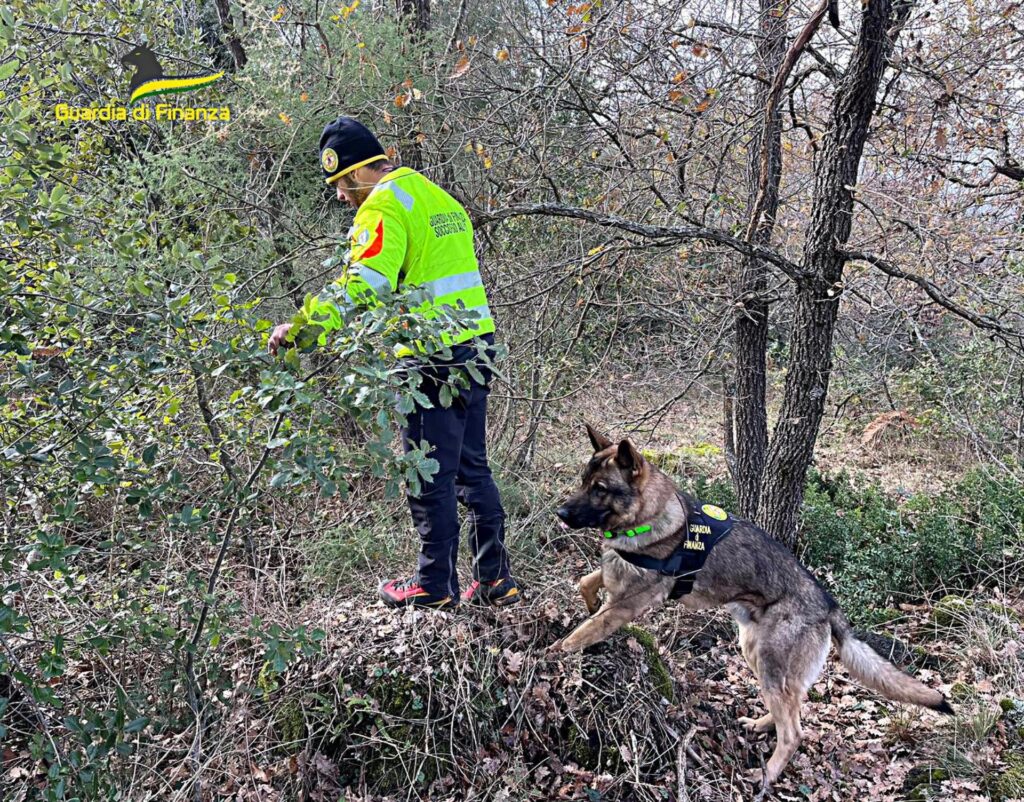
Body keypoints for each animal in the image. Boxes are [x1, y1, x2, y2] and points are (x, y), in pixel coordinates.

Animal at [552, 426, 950, 794]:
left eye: (600, 488)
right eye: (583, 482)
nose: (560, 512)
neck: (650, 515)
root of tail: (828, 605)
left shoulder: (625, 606)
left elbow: (580, 634)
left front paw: (553, 654)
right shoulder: (616, 587)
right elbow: (587, 582)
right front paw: (587, 602)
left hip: (771, 663)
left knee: (794, 732)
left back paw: (766, 775)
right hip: (755, 652)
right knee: (792, 708)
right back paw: (760, 725)